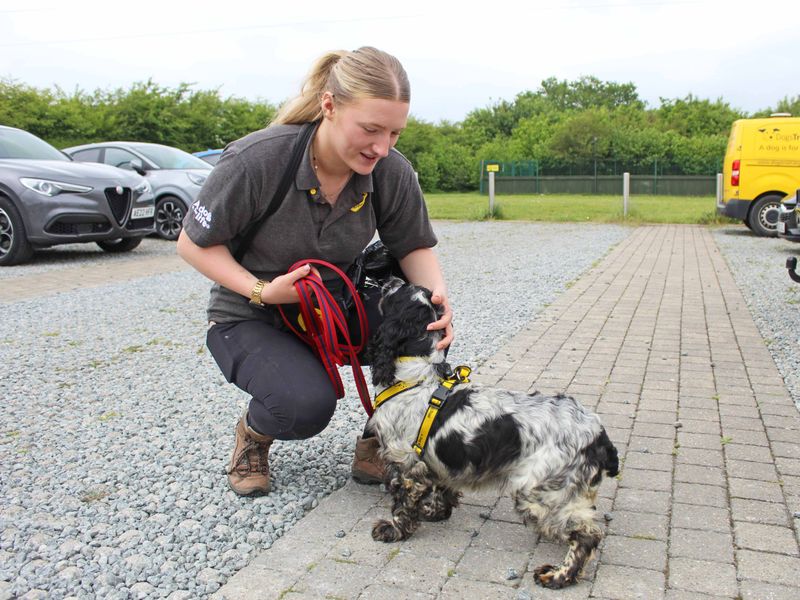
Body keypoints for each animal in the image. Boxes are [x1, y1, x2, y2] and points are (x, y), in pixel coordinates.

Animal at [362, 278, 620, 588]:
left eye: (397, 293)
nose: (391, 279)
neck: (416, 377)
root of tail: (598, 435)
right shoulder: (435, 463)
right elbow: (442, 487)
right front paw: (435, 512)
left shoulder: (407, 466)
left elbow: (402, 504)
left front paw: (392, 530)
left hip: (540, 492)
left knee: (586, 535)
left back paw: (557, 575)